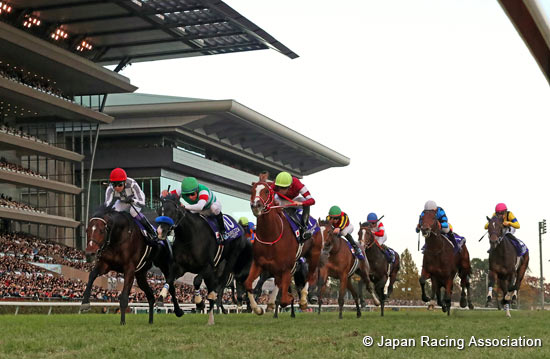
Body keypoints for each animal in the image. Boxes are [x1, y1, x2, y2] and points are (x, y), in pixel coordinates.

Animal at [156, 194, 249, 326]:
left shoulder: (208, 267)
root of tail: (238, 224)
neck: (189, 237)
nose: (160, 232)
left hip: (231, 258)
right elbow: (169, 280)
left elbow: (196, 281)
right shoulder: (179, 267)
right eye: (159, 211)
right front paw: (163, 298)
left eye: (173, 211)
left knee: (222, 283)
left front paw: (199, 302)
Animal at [246, 181, 324, 316]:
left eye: (266, 191)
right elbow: (249, 284)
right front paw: (258, 308)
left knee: (310, 276)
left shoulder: (287, 267)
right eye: (252, 190)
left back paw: (304, 300)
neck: (271, 235)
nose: (256, 206)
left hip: (314, 254)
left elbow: (284, 299)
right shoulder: (259, 264)